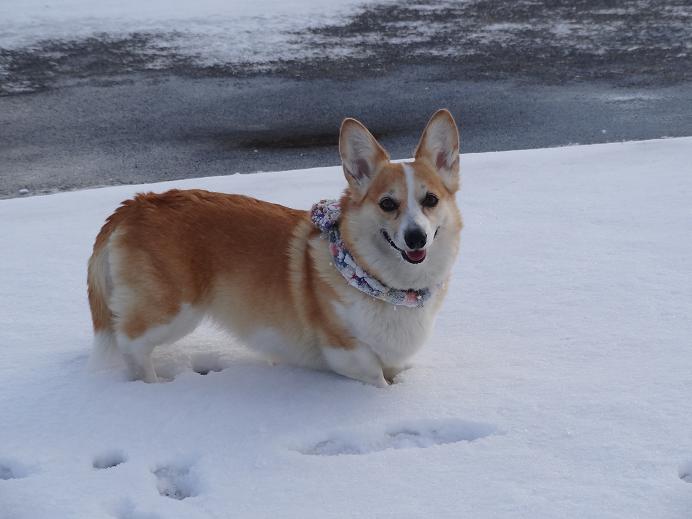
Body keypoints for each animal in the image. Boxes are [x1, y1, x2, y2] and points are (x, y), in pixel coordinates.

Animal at [89, 108, 462, 386]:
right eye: (387, 204)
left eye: (430, 200)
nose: (416, 238)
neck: (392, 288)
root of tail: (135, 204)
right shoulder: (343, 352)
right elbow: (376, 377)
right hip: (174, 310)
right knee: (131, 342)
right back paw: (154, 386)